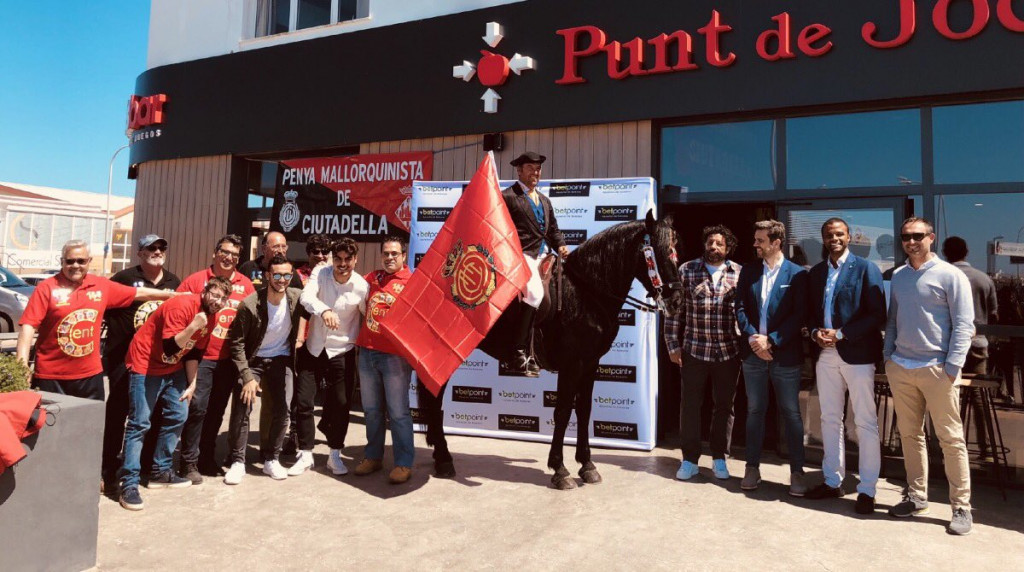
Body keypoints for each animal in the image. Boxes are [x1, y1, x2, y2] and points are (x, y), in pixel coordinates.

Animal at [475, 212, 684, 491]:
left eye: (675, 252)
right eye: (657, 253)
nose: (676, 301)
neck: (587, 292)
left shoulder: (590, 362)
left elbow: (584, 410)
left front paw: (587, 466)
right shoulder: (572, 364)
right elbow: (563, 412)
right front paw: (560, 470)